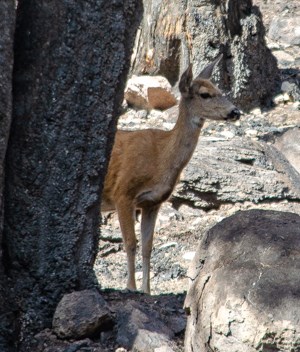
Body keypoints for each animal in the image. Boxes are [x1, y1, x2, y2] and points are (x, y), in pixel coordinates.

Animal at [102, 55, 240, 292]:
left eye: (220, 89)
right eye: (205, 94)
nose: (235, 112)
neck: (161, 157)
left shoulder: (152, 202)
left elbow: (147, 246)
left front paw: (147, 291)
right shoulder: (123, 193)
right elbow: (130, 243)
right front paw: (131, 287)